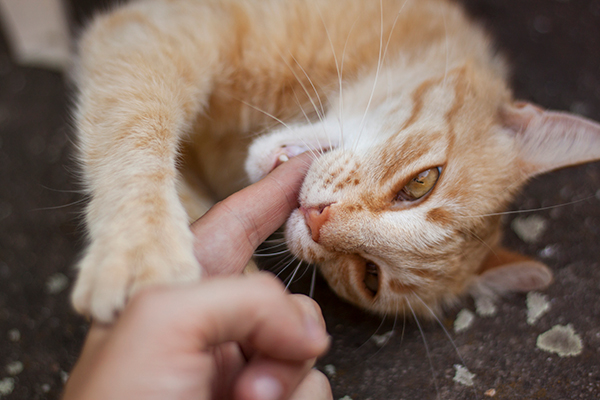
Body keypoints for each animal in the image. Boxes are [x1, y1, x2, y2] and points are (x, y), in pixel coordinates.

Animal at [72, 0, 600, 322]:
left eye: (370, 276)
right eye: (422, 183)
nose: (317, 218)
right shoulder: (153, 31)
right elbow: (136, 129)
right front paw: (139, 250)